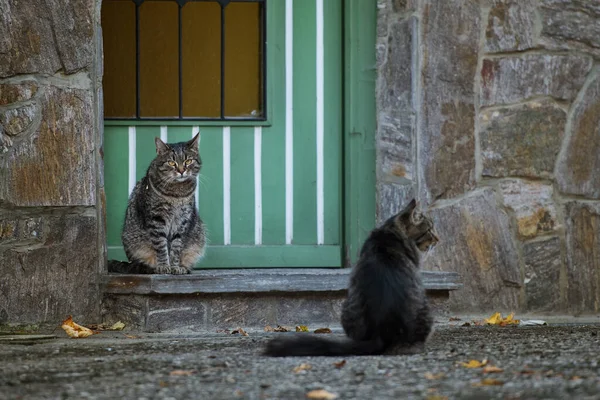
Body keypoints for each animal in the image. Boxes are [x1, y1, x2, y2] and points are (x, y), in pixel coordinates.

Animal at [109, 134, 207, 276]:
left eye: (188, 161)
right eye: (171, 163)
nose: (181, 171)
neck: (177, 193)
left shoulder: (182, 219)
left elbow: (176, 247)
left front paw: (175, 267)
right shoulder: (156, 219)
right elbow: (161, 246)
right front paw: (164, 266)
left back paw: (184, 267)